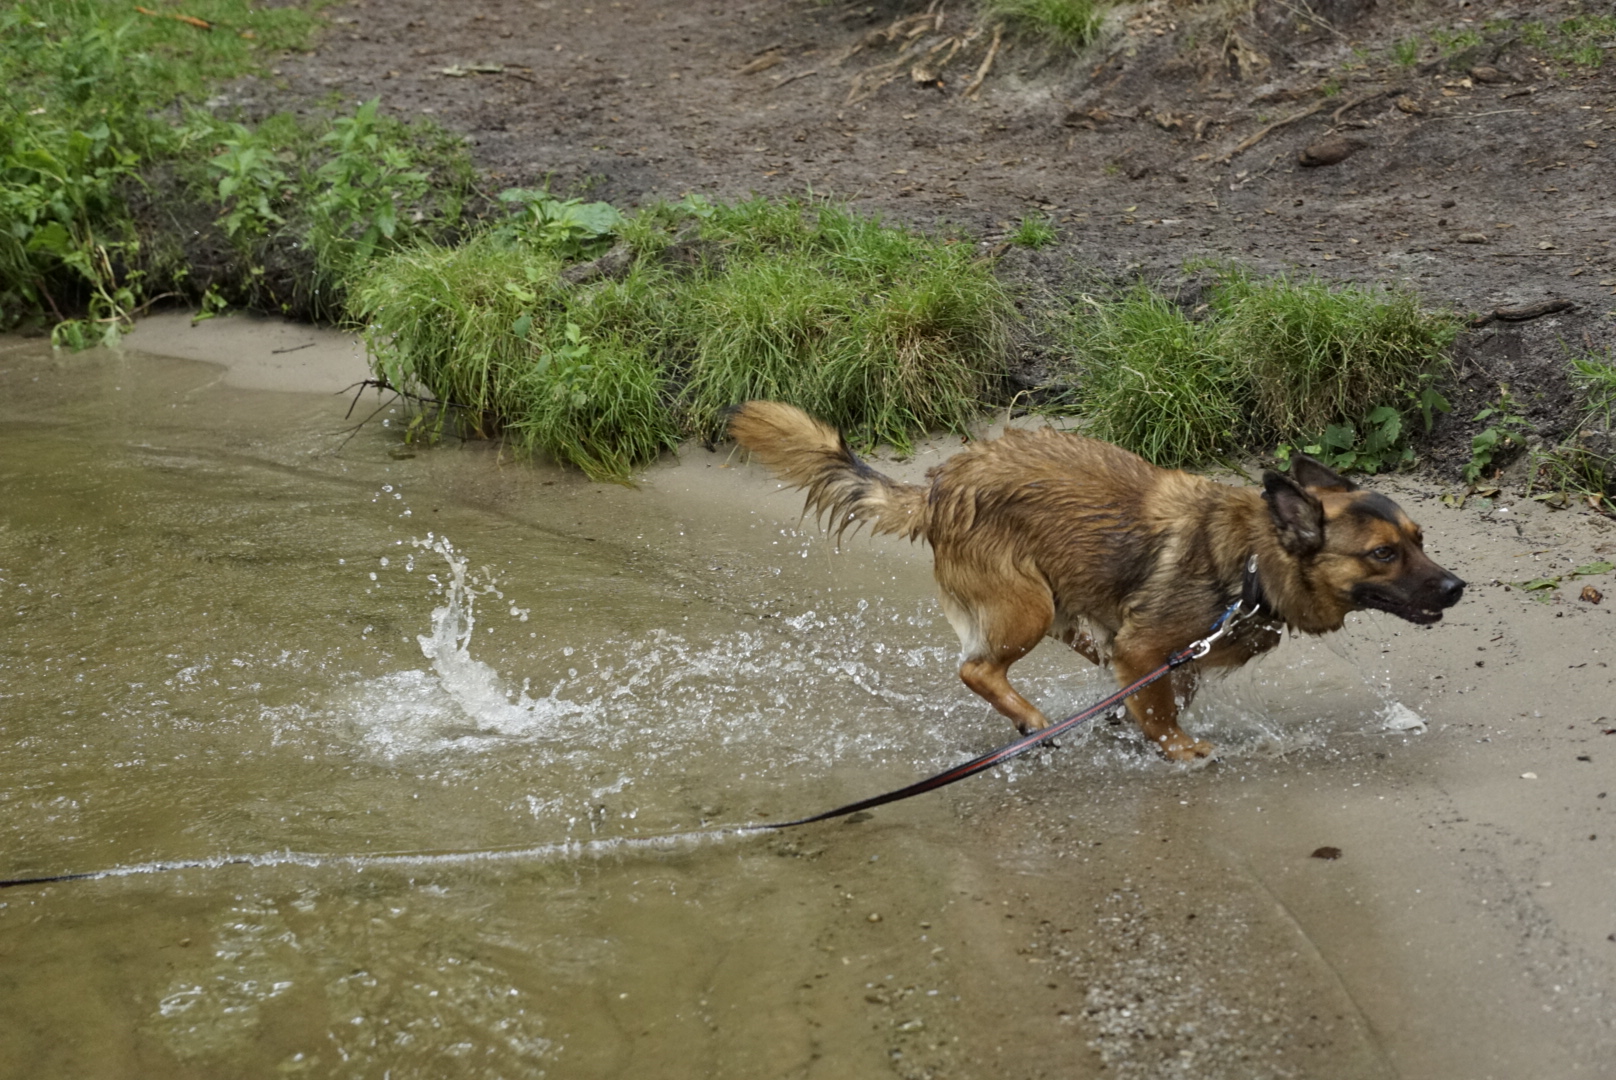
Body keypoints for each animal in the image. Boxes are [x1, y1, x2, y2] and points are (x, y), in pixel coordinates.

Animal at [730, 400, 1467, 763]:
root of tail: (940, 484)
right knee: (976, 669)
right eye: (1382, 555)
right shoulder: (1148, 649)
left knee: (1075, 652)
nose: (1458, 587)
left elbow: (1160, 695)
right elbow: (1162, 711)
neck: (1254, 566)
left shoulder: (1164, 654)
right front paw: (1179, 751)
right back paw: (1033, 721)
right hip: (1026, 605)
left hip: (1064, 604)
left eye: (1421, 540)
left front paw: (1135, 723)